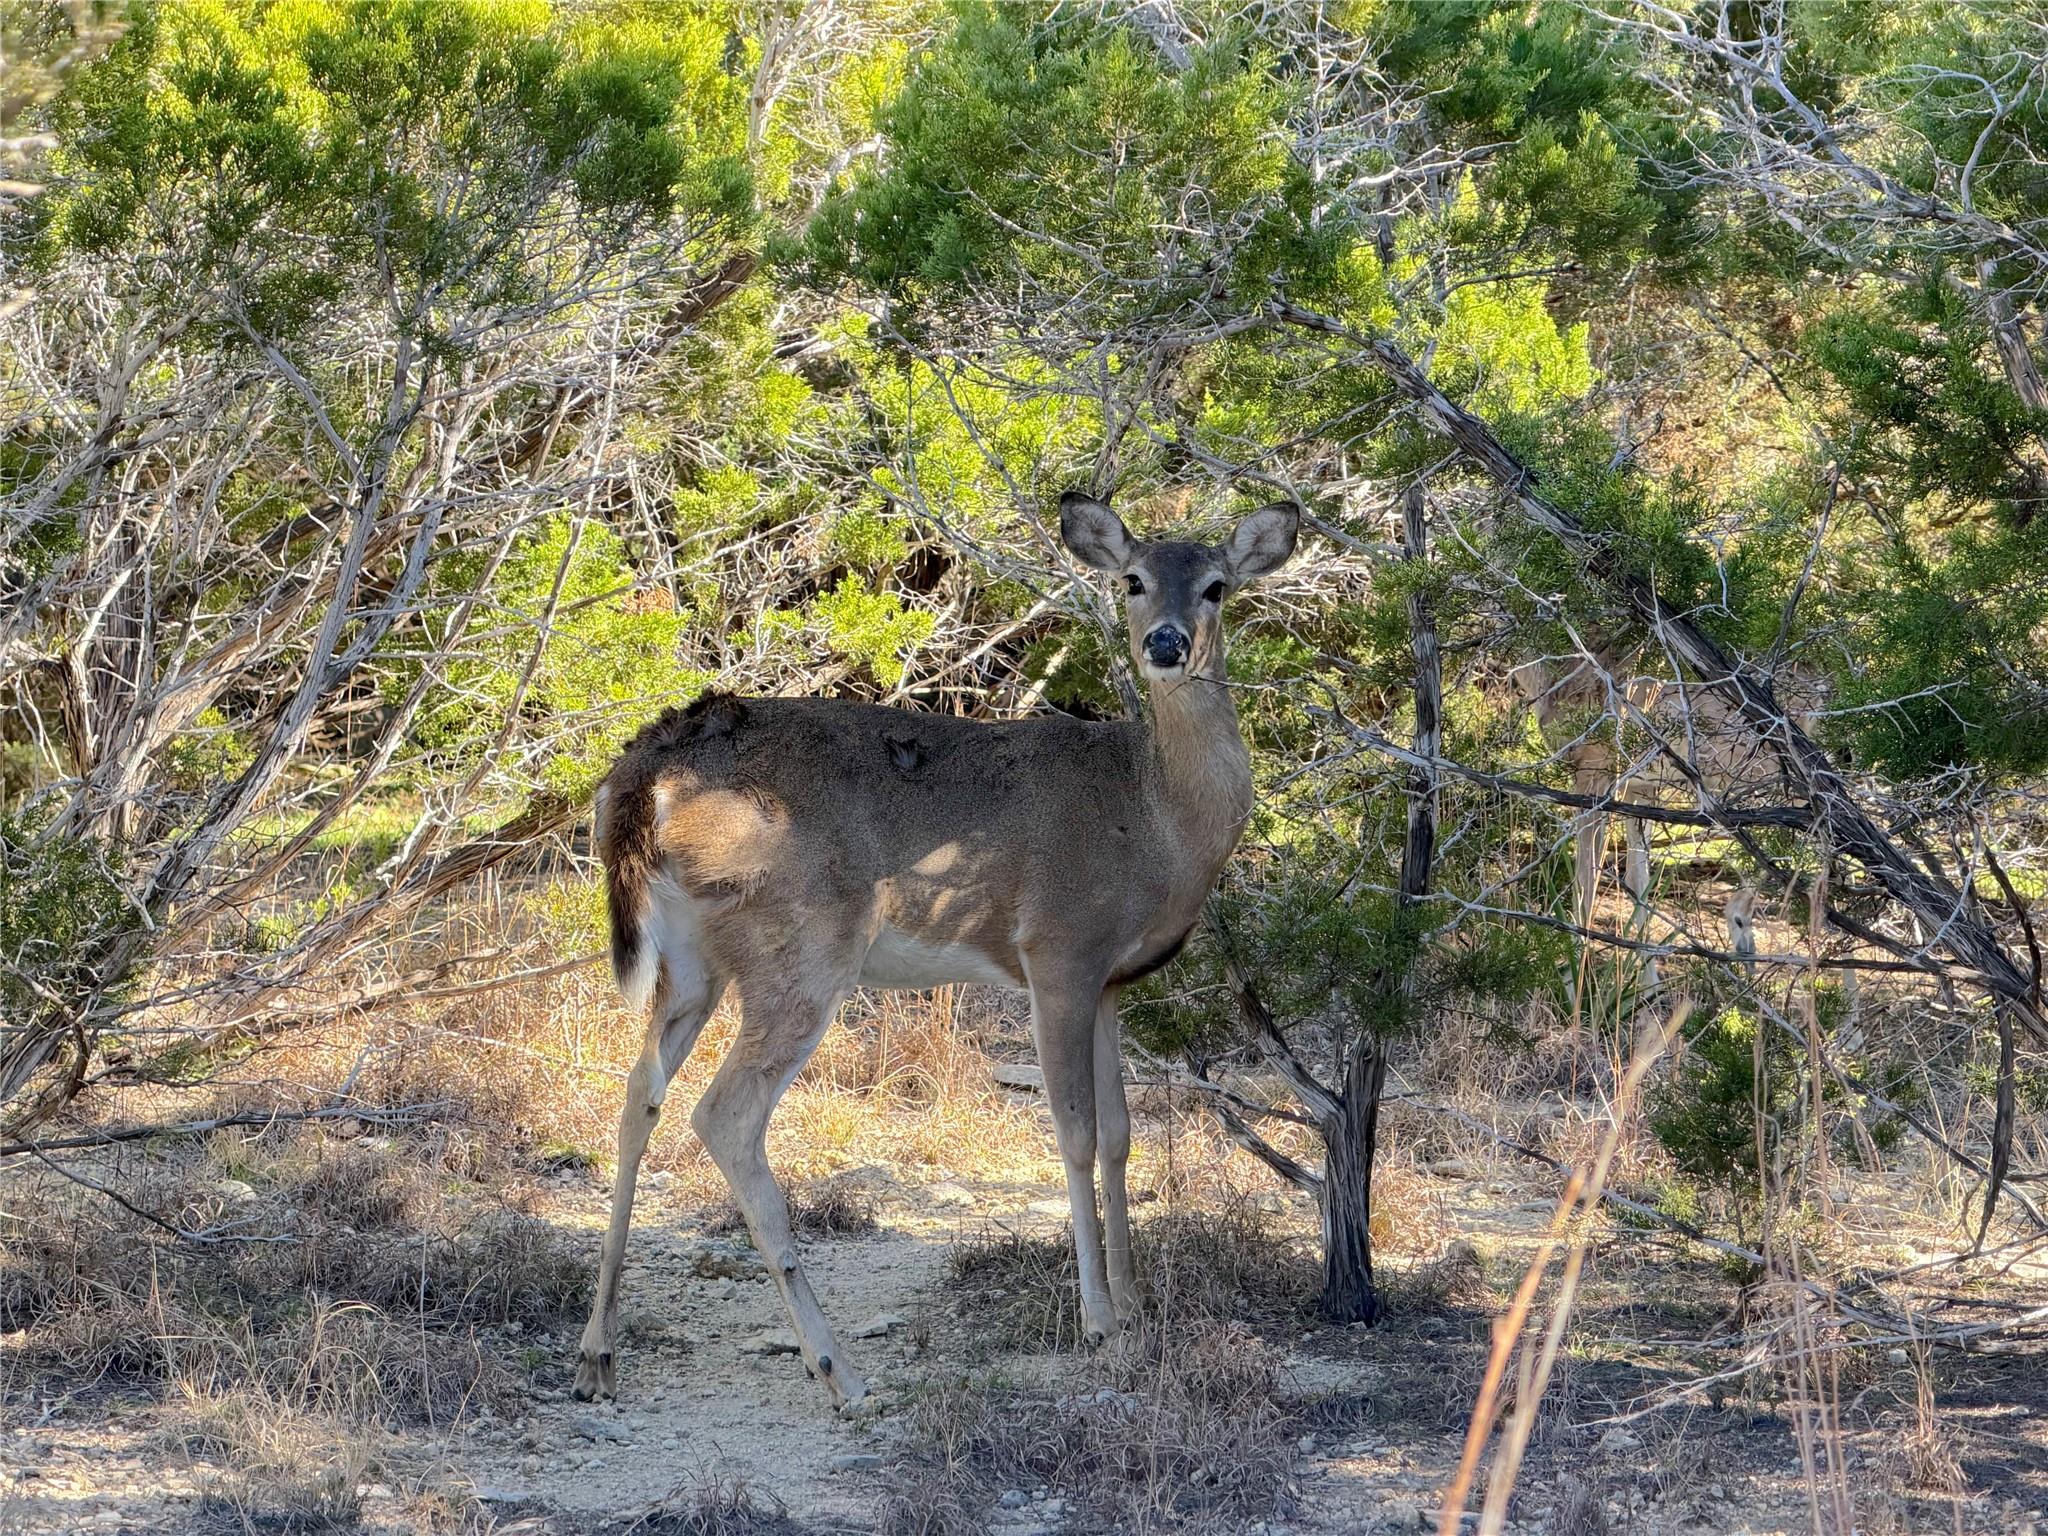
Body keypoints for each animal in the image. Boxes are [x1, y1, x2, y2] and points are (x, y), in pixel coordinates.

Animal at [572, 491, 1300, 1409]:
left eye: (1215, 587)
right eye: (1132, 580)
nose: (1165, 644)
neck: (1155, 815)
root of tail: (644, 774)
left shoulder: (1109, 981)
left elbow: (1120, 1133)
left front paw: (1136, 1305)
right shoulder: (1058, 949)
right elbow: (1073, 1133)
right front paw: (1099, 1321)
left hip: (690, 958)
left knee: (639, 1096)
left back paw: (598, 1354)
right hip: (804, 942)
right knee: (725, 1114)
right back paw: (837, 1368)